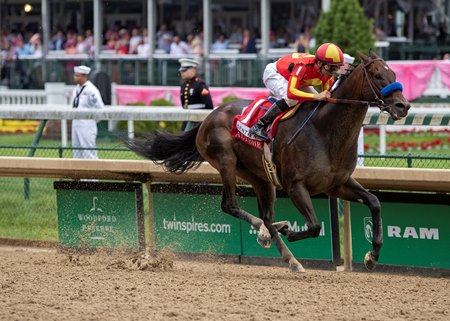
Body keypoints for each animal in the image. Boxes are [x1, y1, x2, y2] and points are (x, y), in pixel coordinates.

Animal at [128, 51, 410, 272]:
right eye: (377, 75)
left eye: (394, 73)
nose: (403, 106)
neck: (324, 130)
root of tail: (209, 117)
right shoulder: (296, 185)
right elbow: (314, 226)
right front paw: (291, 231)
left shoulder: (337, 184)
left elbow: (374, 203)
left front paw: (372, 256)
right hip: (227, 163)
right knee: (230, 205)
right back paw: (276, 239)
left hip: (260, 177)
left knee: (264, 214)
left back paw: (284, 249)